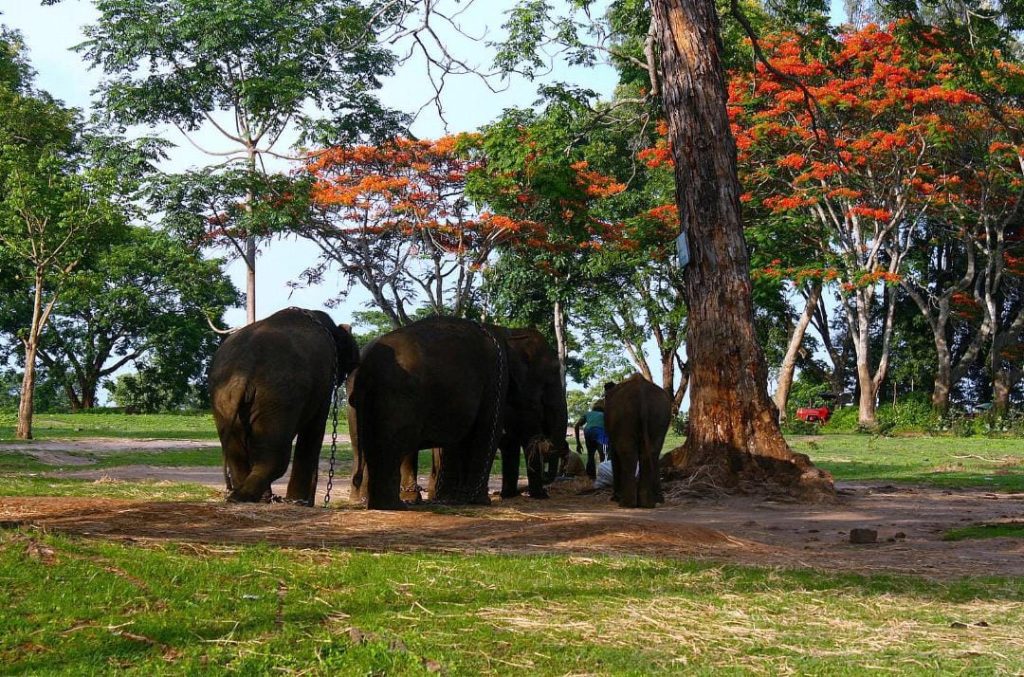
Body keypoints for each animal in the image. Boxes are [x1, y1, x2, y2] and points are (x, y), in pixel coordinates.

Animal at [207, 307, 360, 501]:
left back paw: (247, 496)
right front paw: (301, 502)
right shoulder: (325, 380)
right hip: (278, 397)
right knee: (275, 457)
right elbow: (315, 426)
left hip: (223, 397)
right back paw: (249, 496)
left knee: (239, 453)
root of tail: (243, 372)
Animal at [602, 374, 675, 508]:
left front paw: (614, 498)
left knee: (628, 453)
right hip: (658, 415)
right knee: (651, 452)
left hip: (624, 416)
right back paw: (647, 503)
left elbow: (614, 453)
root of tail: (642, 394)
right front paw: (659, 499)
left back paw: (626, 503)